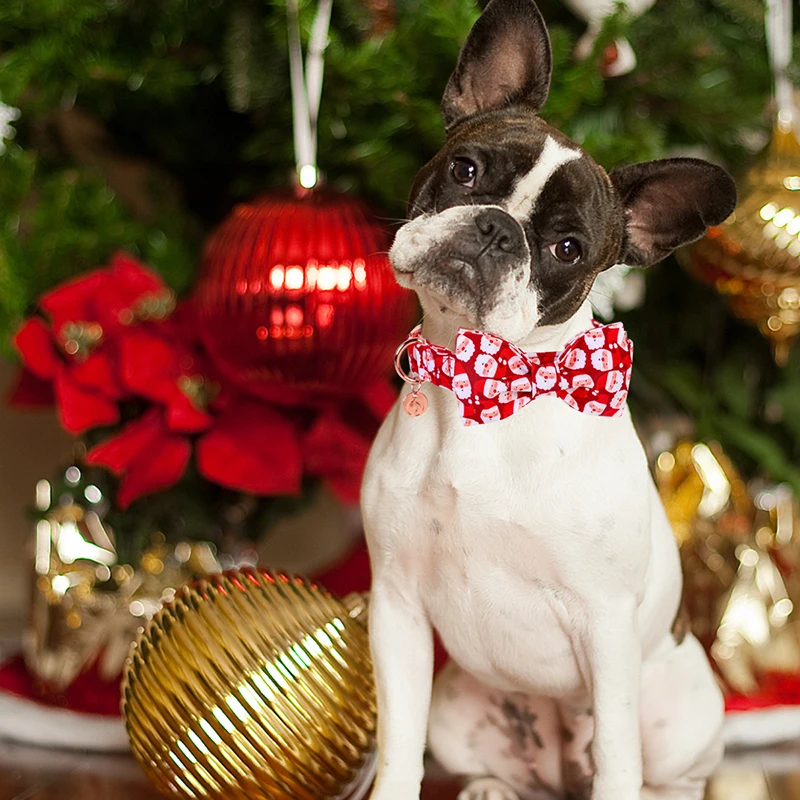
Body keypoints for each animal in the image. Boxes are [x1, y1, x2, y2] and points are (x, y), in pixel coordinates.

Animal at [362, 1, 736, 800]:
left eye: (568, 249)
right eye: (465, 169)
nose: (495, 227)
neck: (483, 382)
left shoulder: (605, 628)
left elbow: (618, 762)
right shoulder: (396, 608)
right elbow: (399, 745)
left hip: (684, 714)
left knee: (664, 776)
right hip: (459, 704)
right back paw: (493, 788)